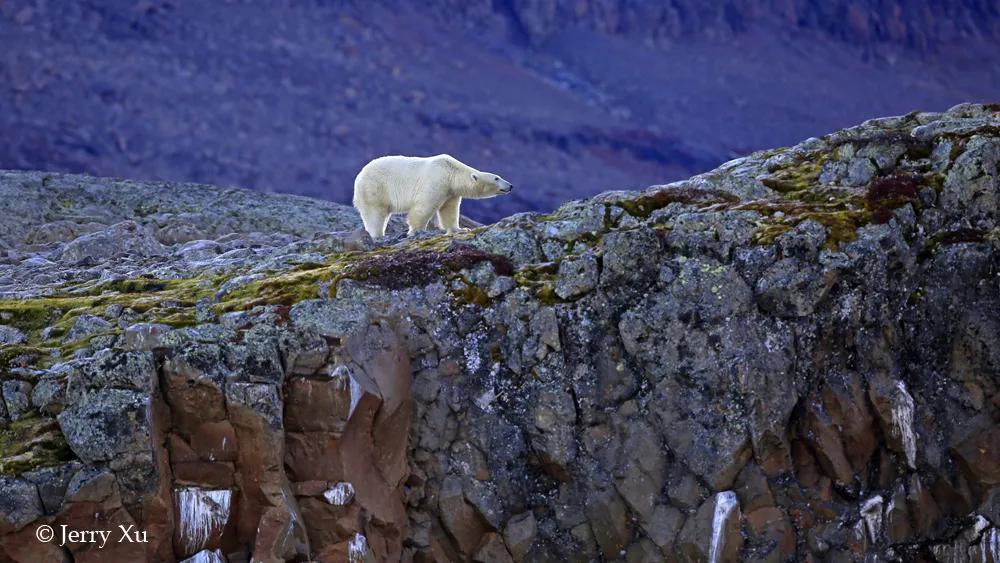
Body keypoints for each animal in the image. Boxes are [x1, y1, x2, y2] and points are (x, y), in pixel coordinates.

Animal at [352, 154, 512, 238]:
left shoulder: (450, 192)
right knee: (375, 213)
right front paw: (417, 230)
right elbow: (424, 206)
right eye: (497, 178)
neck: (451, 172)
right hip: (375, 188)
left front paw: (460, 229)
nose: (510, 186)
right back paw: (378, 235)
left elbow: (449, 211)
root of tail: (359, 176)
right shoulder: (436, 180)